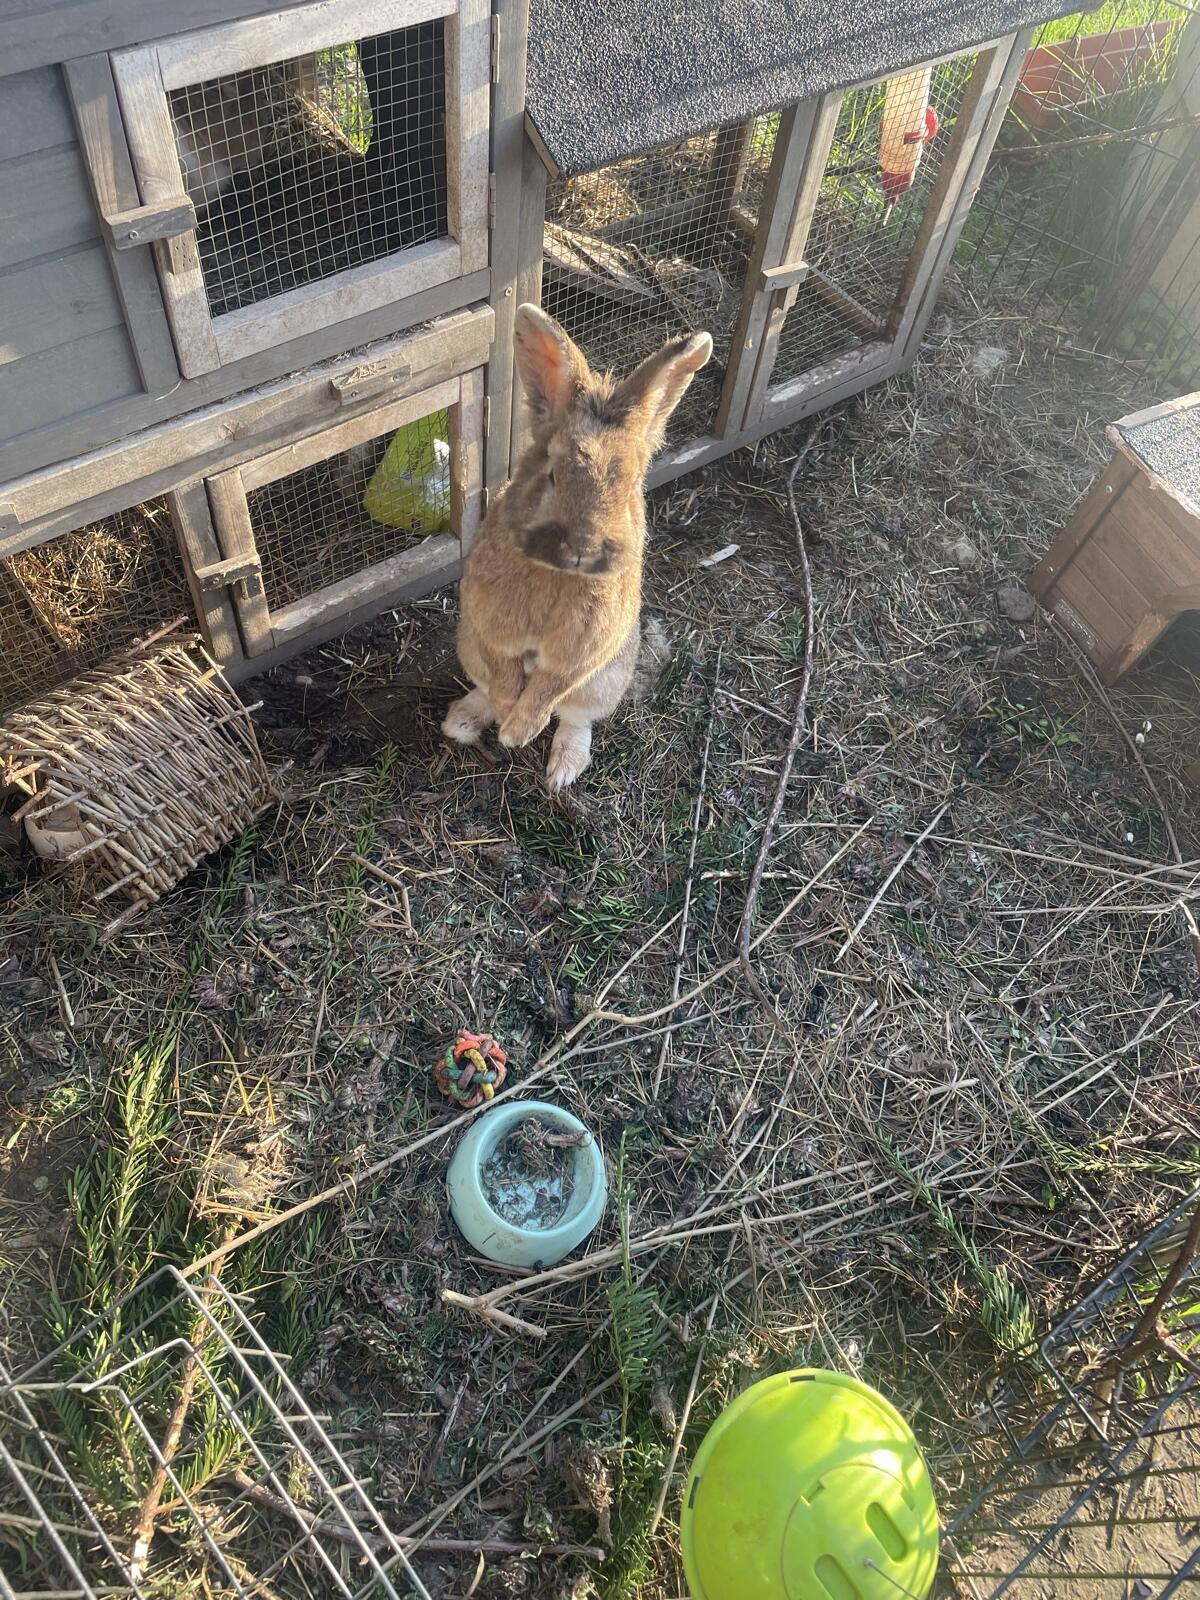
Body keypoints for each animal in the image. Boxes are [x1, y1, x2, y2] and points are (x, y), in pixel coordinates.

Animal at [442, 304, 712, 791]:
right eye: (552, 474)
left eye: (631, 488)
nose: (583, 546)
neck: (559, 572)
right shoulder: (490, 626)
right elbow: (506, 670)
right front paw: (508, 717)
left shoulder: (583, 652)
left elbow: (550, 684)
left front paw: (517, 732)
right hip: (468, 646)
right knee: (487, 686)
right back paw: (463, 722)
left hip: (604, 682)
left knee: (576, 719)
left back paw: (563, 770)